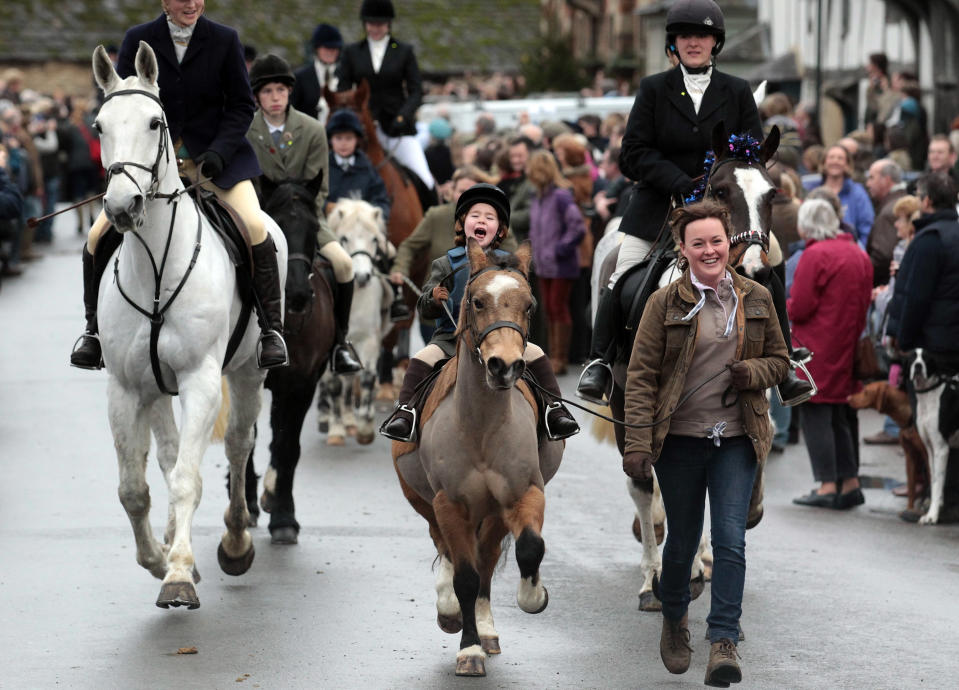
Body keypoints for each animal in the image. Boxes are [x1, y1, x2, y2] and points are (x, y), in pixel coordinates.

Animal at [89, 43, 284, 604]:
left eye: (156, 122)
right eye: (99, 126)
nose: (121, 205)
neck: (156, 265)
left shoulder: (201, 381)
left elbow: (187, 479)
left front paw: (177, 574)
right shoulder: (126, 388)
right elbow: (134, 488)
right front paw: (160, 559)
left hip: (247, 373)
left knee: (238, 445)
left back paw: (235, 544)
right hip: (156, 387)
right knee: (171, 454)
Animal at [394, 239, 568, 676]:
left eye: (529, 305)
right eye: (476, 301)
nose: (504, 366)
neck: (482, 427)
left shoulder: (524, 492)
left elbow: (528, 548)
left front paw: (533, 596)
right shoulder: (449, 503)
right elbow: (465, 578)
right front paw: (467, 648)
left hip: (492, 514)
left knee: (487, 560)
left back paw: (487, 629)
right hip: (426, 502)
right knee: (448, 552)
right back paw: (450, 611)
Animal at [852, 382, 928, 510]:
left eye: (866, 392)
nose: (848, 398)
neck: (908, 417)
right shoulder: (910, 456)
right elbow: (911, 488)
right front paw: (909, 509)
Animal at [908, 350, 959, 520]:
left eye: (926, 358)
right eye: (912, 357)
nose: (918, 366)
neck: (928, 395)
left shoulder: (941, 449)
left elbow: (937, 483)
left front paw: (932, 515)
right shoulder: (930, 449)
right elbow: (935, 479)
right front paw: (937, 506)